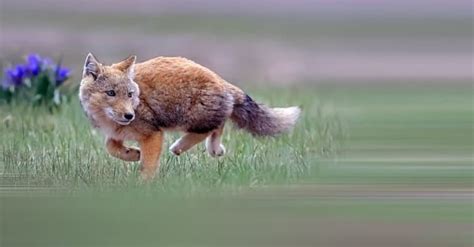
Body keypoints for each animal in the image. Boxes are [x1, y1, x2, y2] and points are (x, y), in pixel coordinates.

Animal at [78, 53, 300, 178]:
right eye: (111, 93)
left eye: (130, 95)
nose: (129, 116)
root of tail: (222, 80)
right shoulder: (116, 134)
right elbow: (110, 146)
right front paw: (132, 154)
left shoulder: (153, 134)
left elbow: (148, 167)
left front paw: (143, 187)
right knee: (219, 124)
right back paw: (214, 149)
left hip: (186, 119)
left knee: (213, 126)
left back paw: (183, 147)